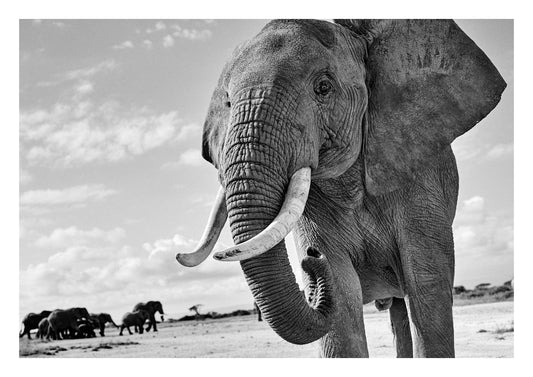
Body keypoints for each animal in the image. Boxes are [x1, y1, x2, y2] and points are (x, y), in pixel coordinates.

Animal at [177, 19, 504, 356]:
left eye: (323, 87)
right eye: (228, 102)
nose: (310, 257)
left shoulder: (420, 174)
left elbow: (427, 284)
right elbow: (342, 295)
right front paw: (327, 264)